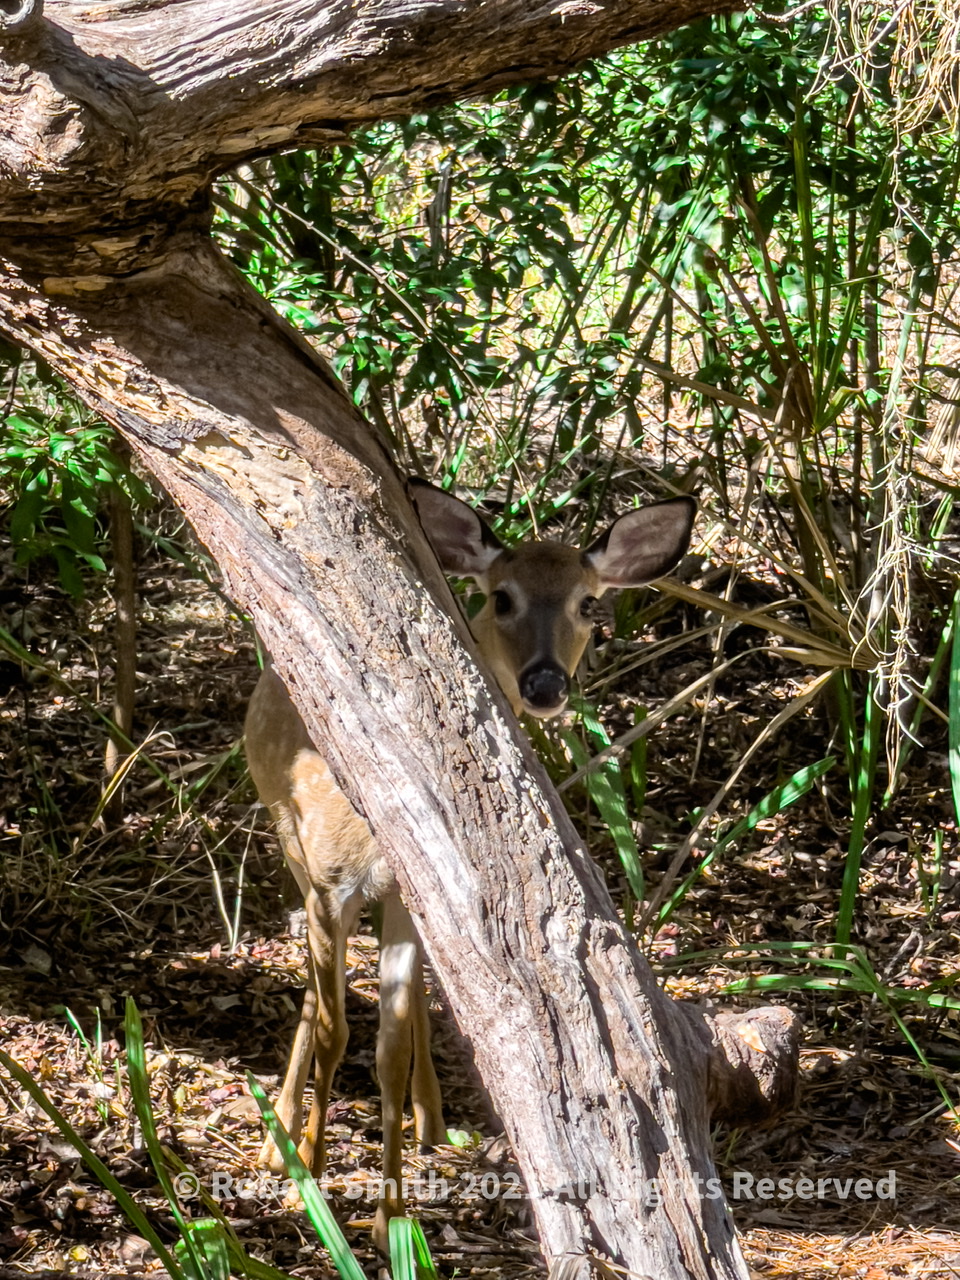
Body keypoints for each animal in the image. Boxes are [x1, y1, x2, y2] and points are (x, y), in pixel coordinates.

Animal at [245, 478, 696, 1251]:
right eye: (502, 597)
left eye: (588, 603)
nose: (545, 685)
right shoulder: (330, 882)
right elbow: (336, 1032)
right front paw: (309, 1167)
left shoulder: (407, 892)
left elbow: (389, 1047)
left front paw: (391, 1218)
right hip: (286, 835)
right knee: (313, 993)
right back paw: (282, 1134)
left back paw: (428, 1120)